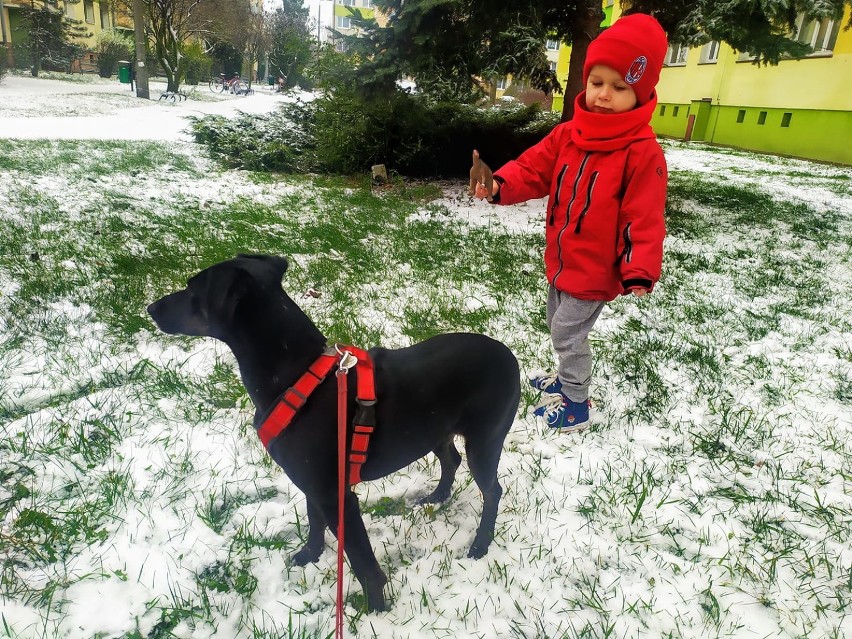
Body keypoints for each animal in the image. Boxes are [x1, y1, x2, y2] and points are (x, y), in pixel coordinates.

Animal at [146, 254, 520, 608]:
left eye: (192, 290)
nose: (150, 309)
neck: (296, 374)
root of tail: (510, 356)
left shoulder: (336, 495)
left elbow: (363, 565)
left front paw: (376, 610)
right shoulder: (312, 483)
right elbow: (314, 521)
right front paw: (310, 555)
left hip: (485, 440)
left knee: (492, 491)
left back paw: (480, 544)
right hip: (433, 430)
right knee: (451, 459)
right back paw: (437, 497)